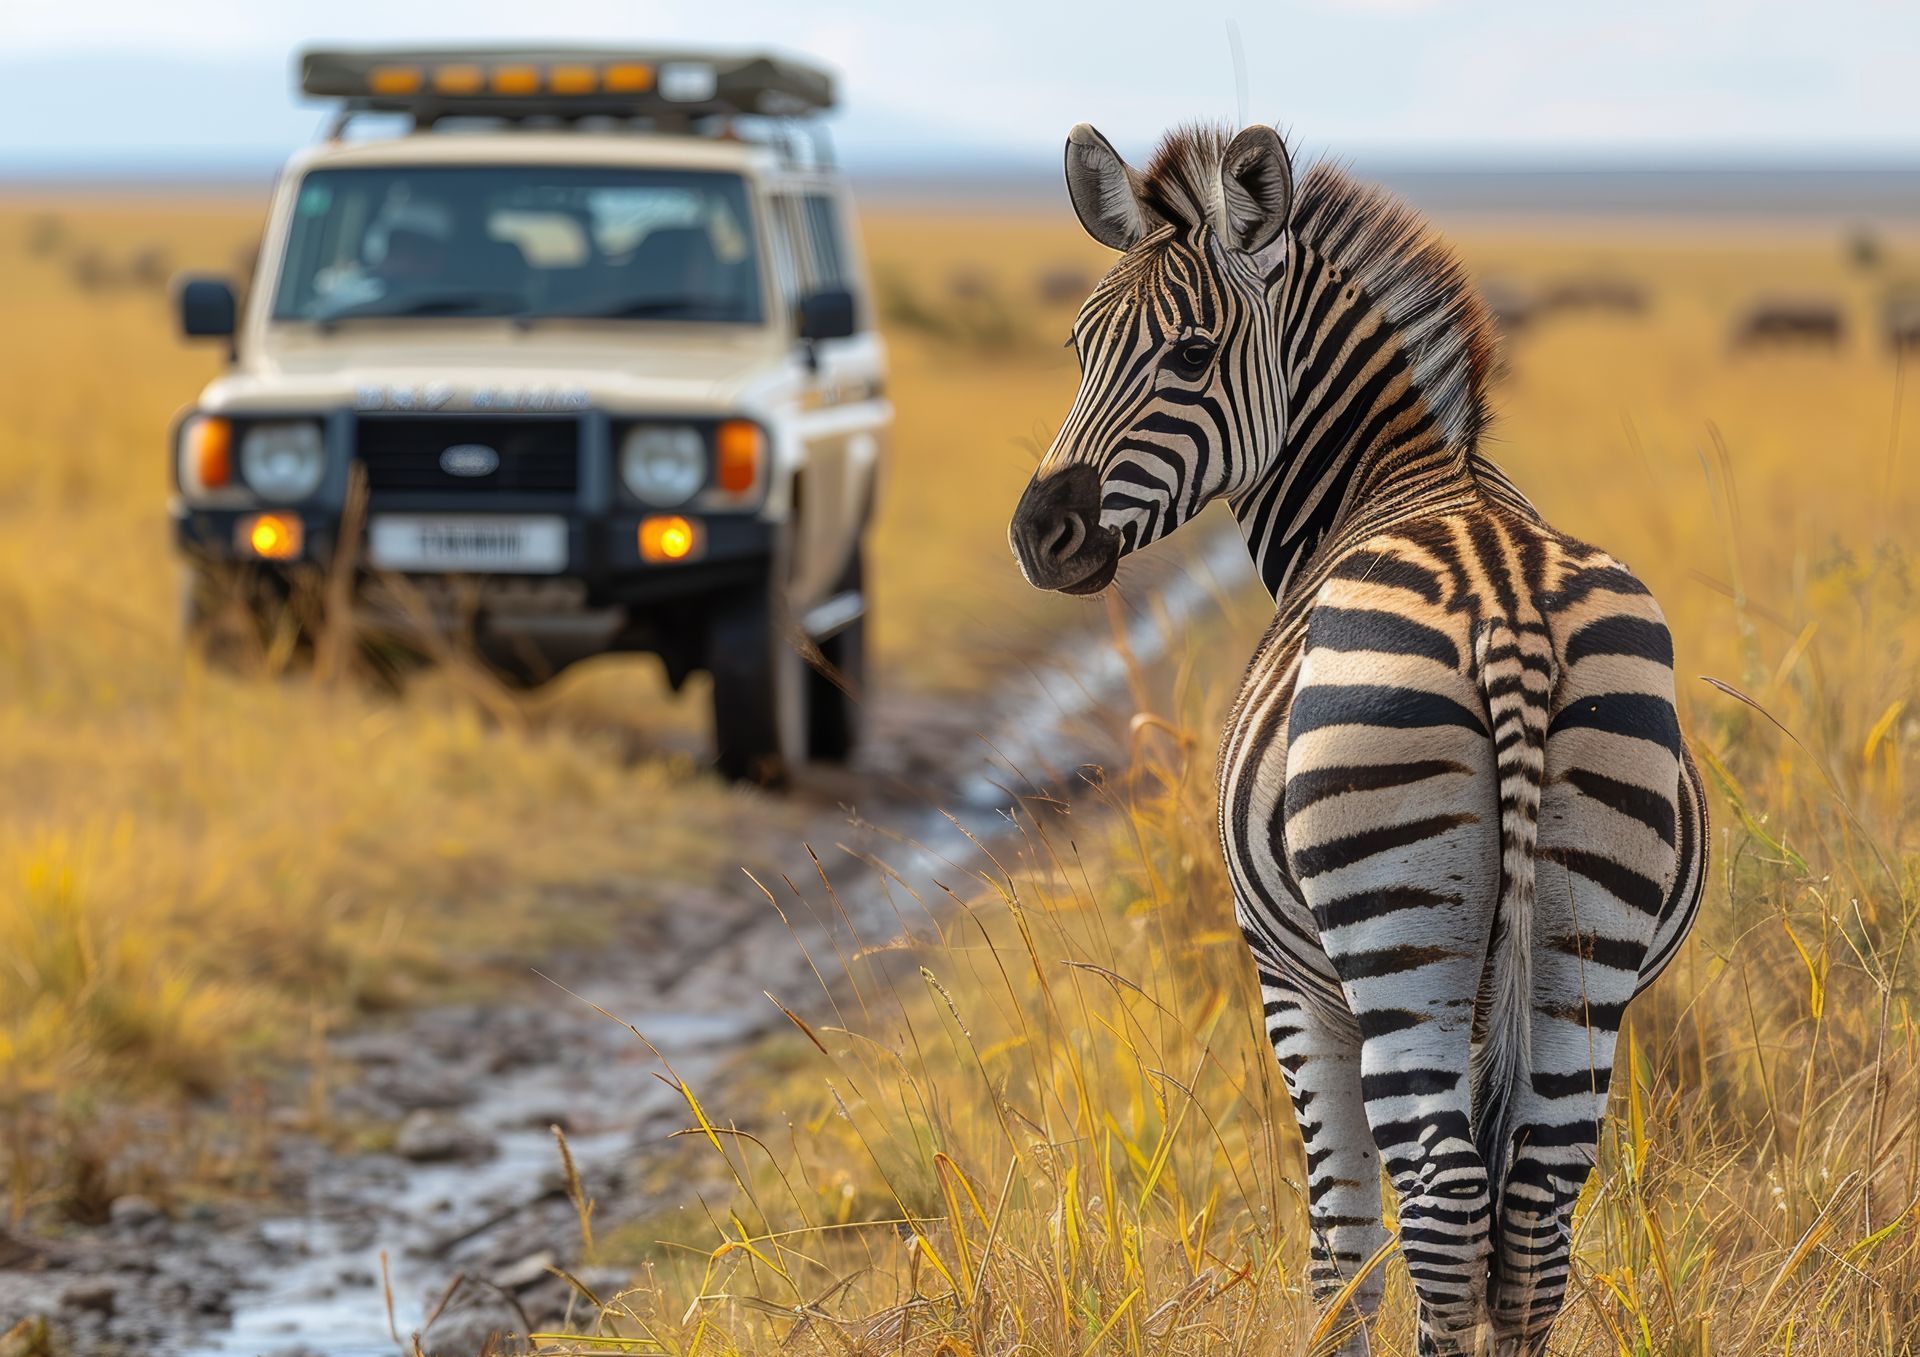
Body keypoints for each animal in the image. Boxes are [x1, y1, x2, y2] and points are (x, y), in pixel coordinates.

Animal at [1008, 123, 1708, 1355]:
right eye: (1079, 347)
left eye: (1192, 356)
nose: (1039, 533)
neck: (1403, 479)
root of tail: (1508, 613)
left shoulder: (1291, 982)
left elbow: (1337, 1249)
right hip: (1581, 956)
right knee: (1531, 1218)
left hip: (1393, 950)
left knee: (1440, 1208)